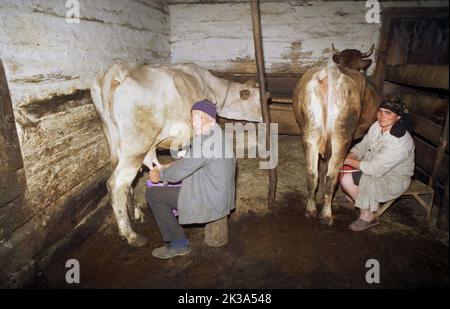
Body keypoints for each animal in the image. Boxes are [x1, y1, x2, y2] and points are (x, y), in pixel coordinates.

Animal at [90, 62, 262, 245]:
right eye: (259, 98)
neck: (210, 86)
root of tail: (115, 70)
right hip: (136, 147)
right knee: (117, 184)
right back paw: (130, 235)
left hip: (114, 144)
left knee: (127, 184)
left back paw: (137, 215)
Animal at [292, 44, 380, 224]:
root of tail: (332, 71)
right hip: (342, 137)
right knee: (331, 178)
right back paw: (326, 215)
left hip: (310, 133)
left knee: (312, 174)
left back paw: (311, 210)